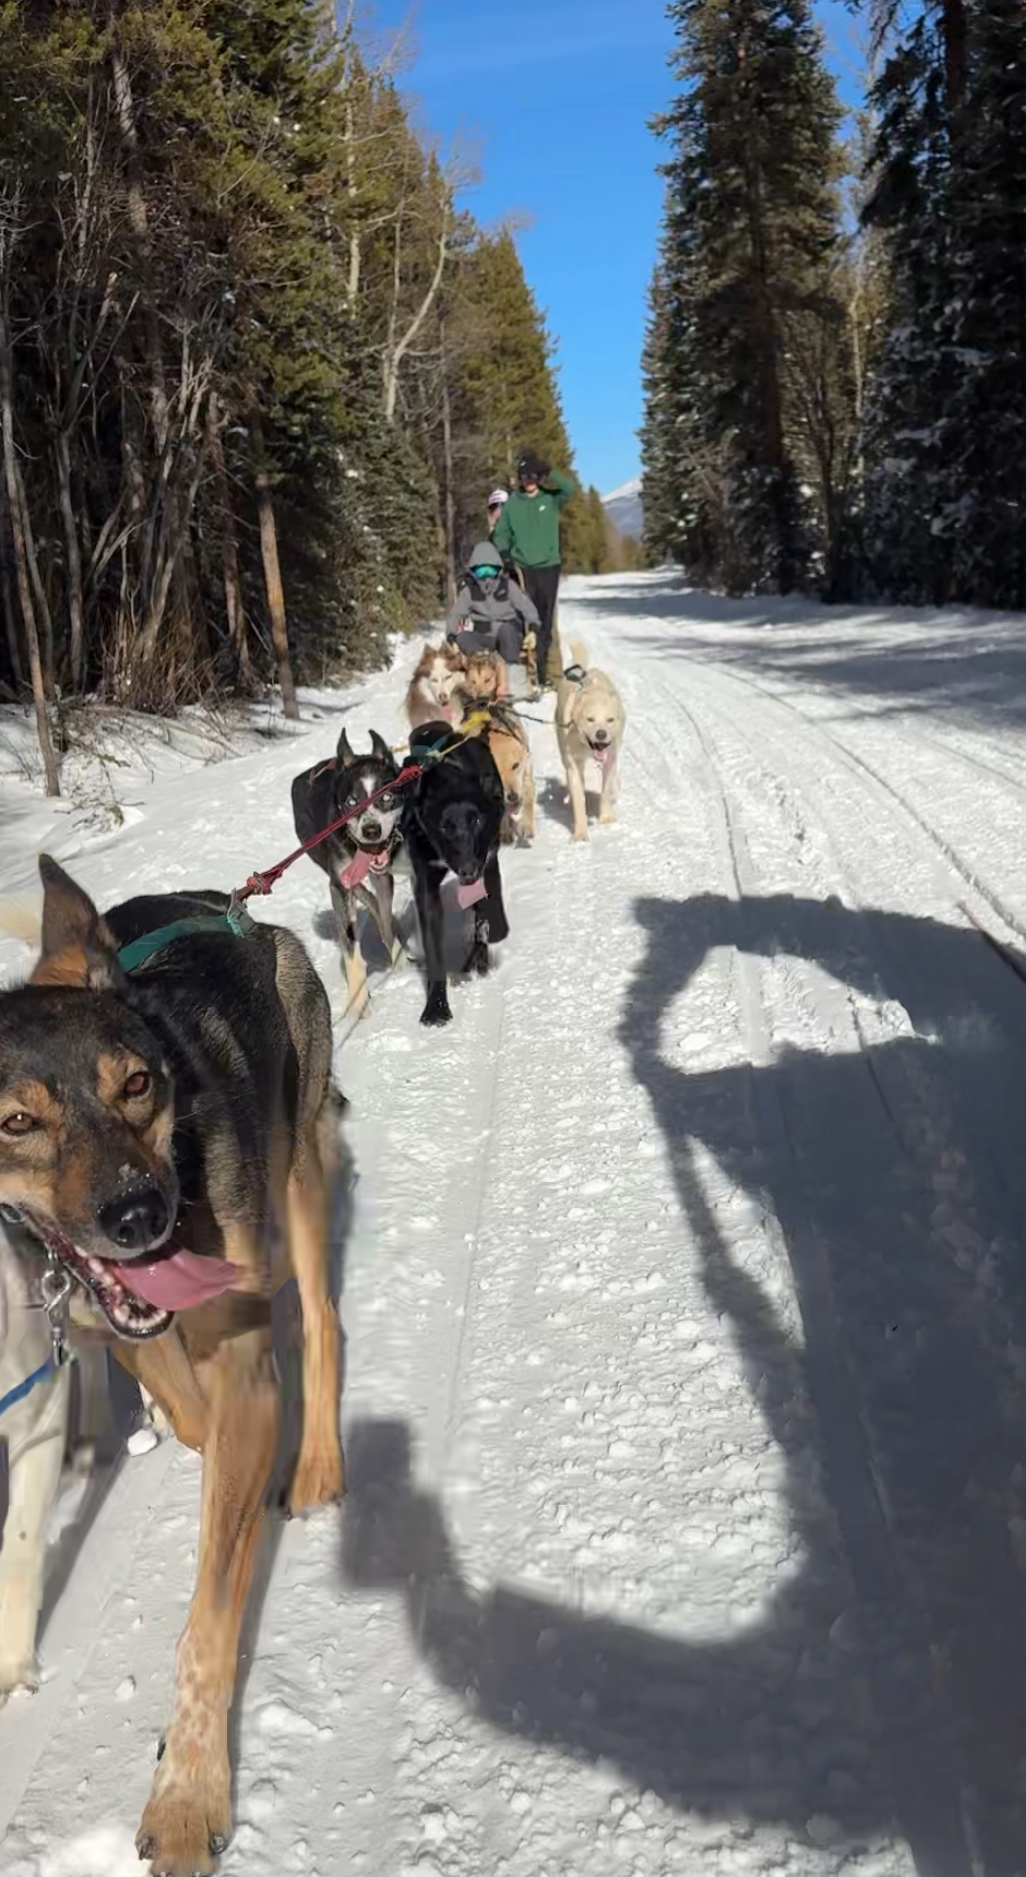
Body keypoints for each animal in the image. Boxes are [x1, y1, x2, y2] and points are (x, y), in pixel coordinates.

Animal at [0, 857, 344, 1874]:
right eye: (18, 1121)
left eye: (139, 1083)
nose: (137, 1214)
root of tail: (231, 908)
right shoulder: (114, 1324)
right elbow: (183, 1404)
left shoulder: (244, 1364)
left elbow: (207, 1623)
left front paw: (189, 1794)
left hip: (298, 1171)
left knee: (322, 1319)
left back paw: (318, 1463)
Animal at [292, 728, 404, 1018]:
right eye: (352, 801)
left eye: (386, 797)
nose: (371, 830)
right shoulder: (339, 884)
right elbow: (351, 949)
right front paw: (358, 1001)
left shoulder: (382, 875)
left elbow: (384, 915)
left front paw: (399, 957)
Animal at [402, 725, 508, 1026]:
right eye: (444, 827)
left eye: (477, 820)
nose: (466, 868)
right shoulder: (425, 884)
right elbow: (434, 951)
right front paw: (436, 1006)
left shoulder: (488, 860)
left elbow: (489, 913)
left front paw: (491, 935)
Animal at [555, 639, 626, 843]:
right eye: (590, 719)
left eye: (610, 720)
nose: (601, 734)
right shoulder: (573, 762)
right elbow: (579, 799)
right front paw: (580, 833)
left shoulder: (610, 758)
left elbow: (606, 789)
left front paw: (606, 817)